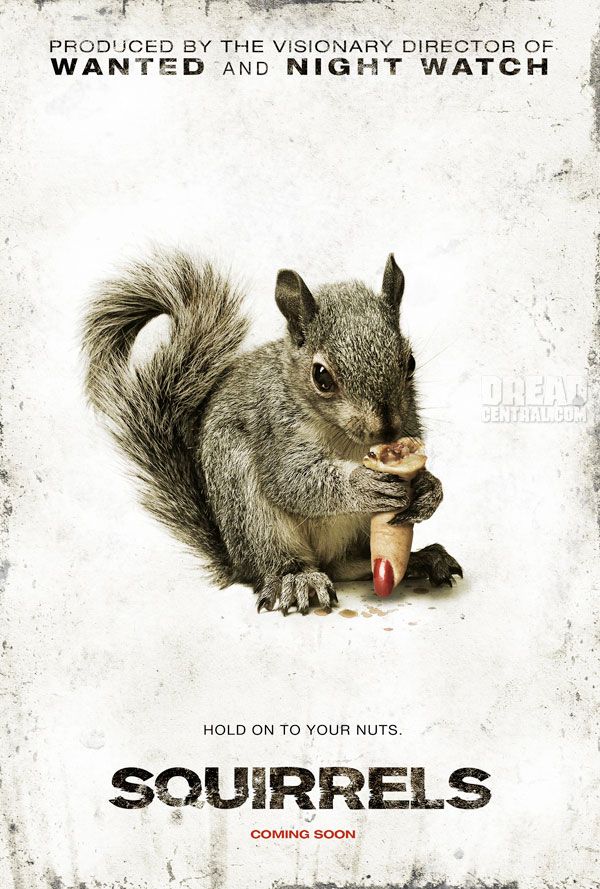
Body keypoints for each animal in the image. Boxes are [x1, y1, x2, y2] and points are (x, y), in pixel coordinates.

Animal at [82, 250, 462, 614]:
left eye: (410, 362)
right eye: (321, 377)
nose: (385, 430)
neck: (348, 441)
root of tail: (236, 562)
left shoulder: (409, 422)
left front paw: (429, 489)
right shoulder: (275, 429)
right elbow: (292, 480)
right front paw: (363, 484)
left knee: (347, 566)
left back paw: (420, 559)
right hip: (247, 504)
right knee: (279, 560)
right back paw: (295, 579)